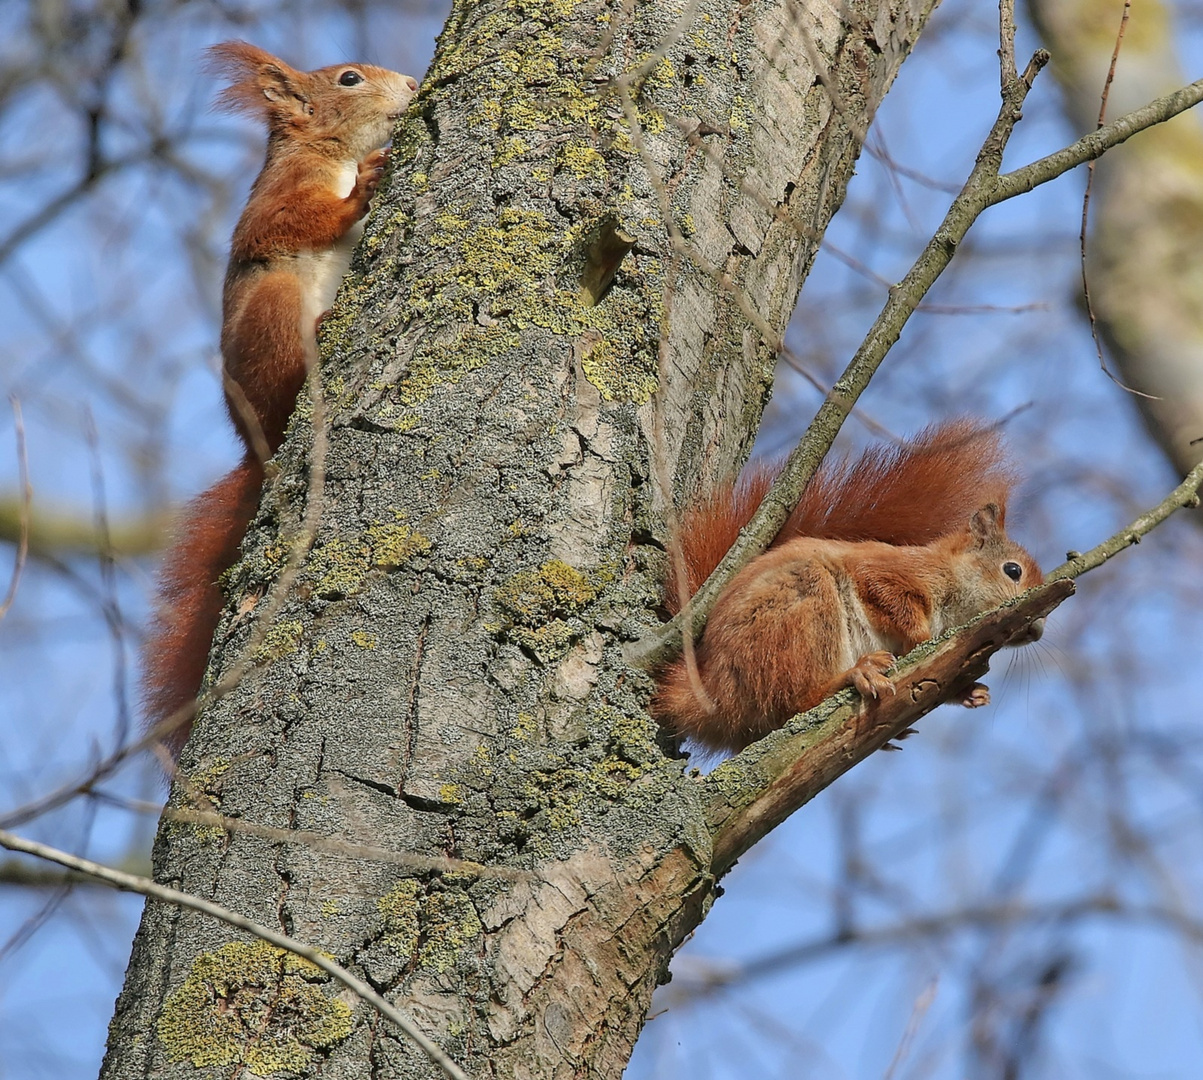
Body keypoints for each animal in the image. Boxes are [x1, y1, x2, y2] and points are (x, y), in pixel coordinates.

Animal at [142, 42, 418, 750]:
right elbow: (286, 223)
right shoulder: (277, 199)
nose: (412, 84)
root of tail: (256, 446)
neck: (333, 150)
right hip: (273, 306)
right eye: (349, 79)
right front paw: (364, 187)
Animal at [649, 416, 1044, 755]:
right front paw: (920, 637)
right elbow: (887, 596)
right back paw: (855, 674)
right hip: (804, 608)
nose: (1037, 630)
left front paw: (971, 692)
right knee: (795, 701)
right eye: (1012, 571)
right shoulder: (890, 572)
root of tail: (712, 689)